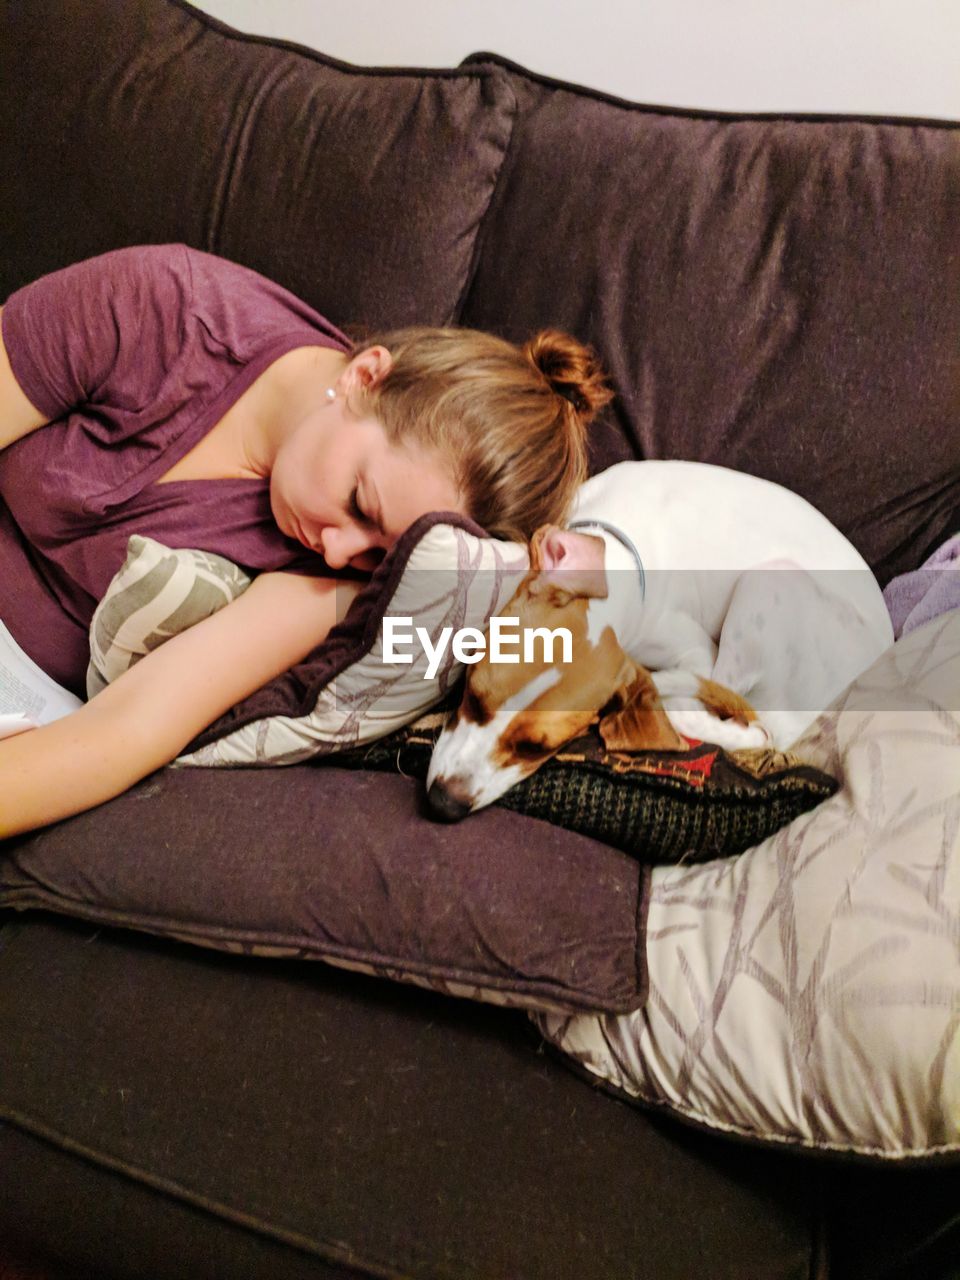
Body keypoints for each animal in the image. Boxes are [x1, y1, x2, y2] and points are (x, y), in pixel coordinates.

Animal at [427, 460, 896, 819]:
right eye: (471, 696)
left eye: (537, 747)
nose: (443, 803)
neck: (617, 561)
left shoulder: (695, 652)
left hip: (771, 583)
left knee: (743, 718)